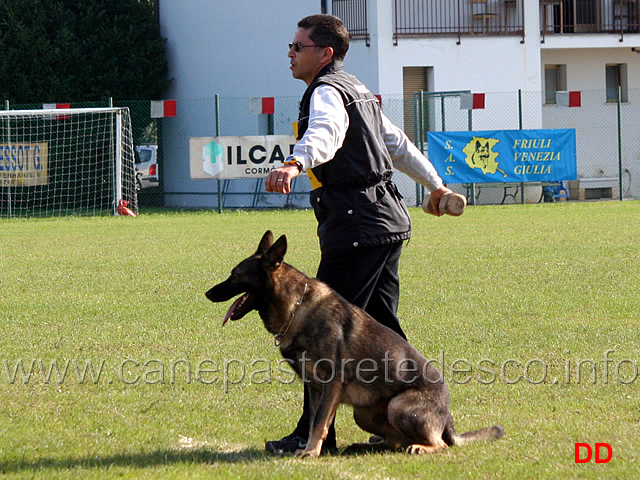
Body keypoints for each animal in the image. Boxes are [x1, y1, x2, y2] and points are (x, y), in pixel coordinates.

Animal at [206, 232, 504, 458]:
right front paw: (314, 449)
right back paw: (368, 445)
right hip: (363, 414)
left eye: (235, 274)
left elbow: (319, 422)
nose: (207, 293)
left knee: (440, 444)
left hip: (399, 406)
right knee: (395, 441)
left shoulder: (332, 383)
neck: (297, 308)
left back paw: (420, 447)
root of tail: (448, 416)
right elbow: (316, 421)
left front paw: (311, 452)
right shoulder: (314, 387)